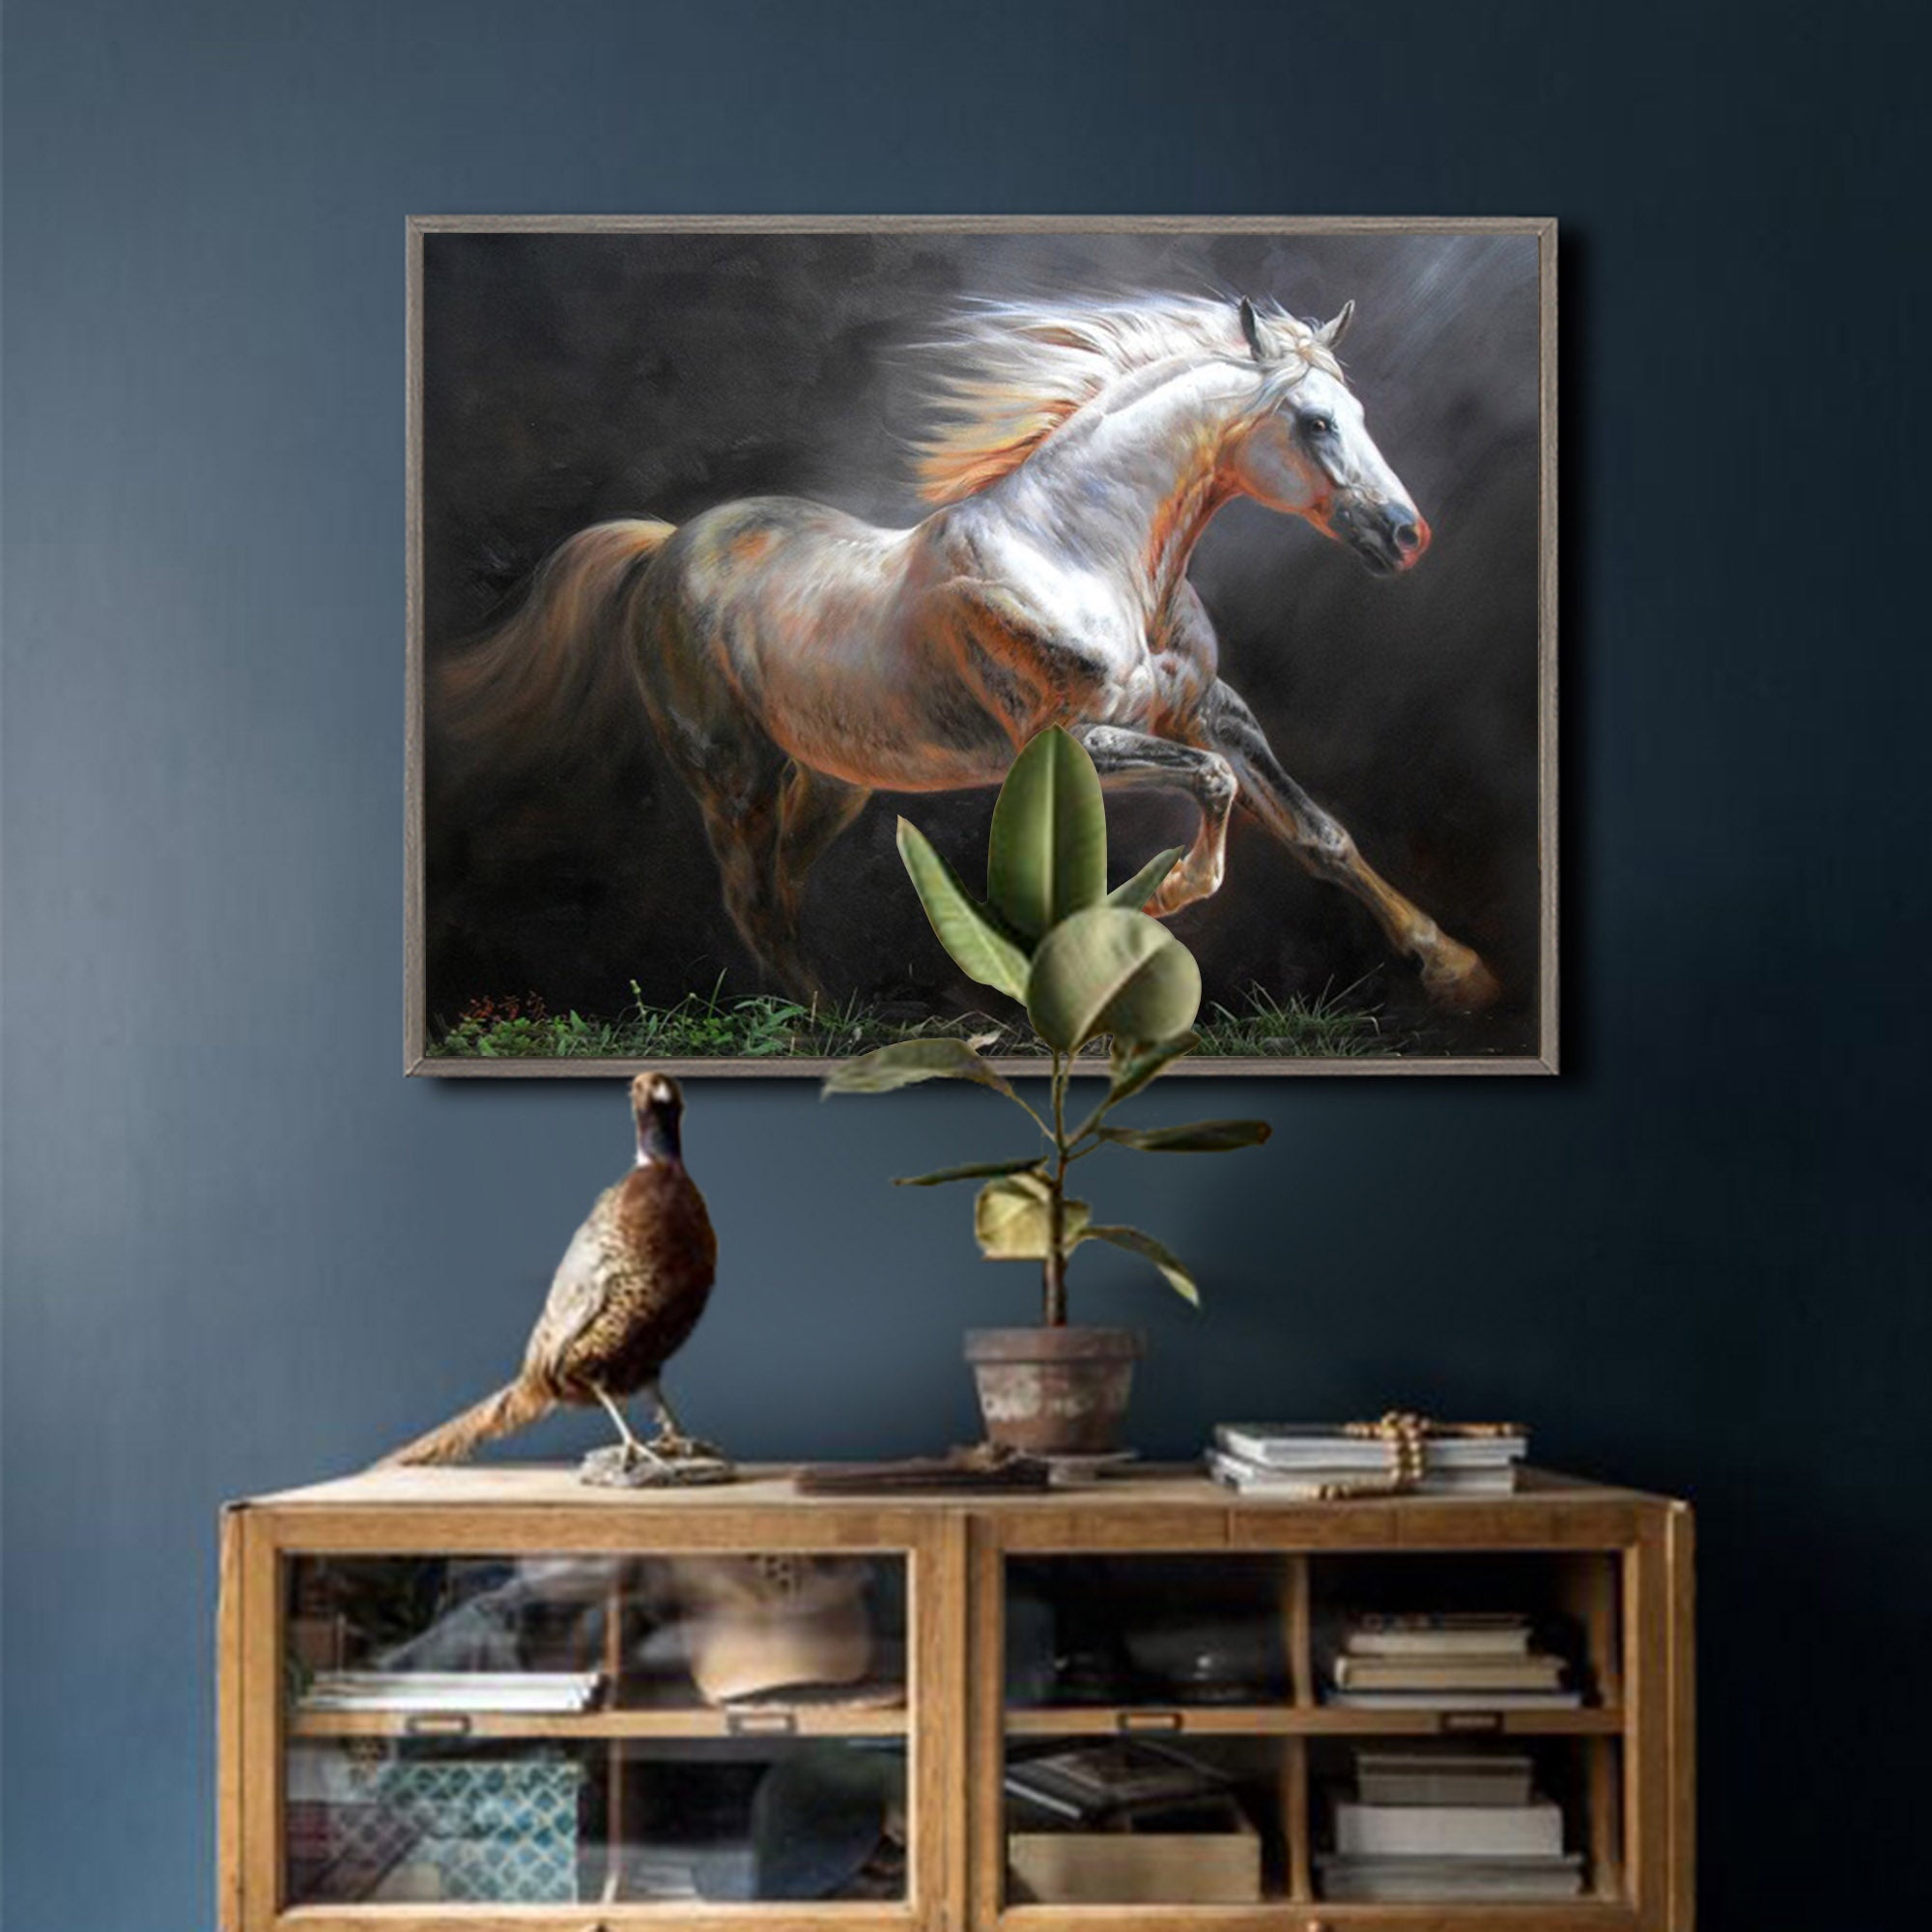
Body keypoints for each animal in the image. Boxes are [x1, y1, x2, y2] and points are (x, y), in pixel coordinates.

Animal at [437, 293, 1501, 1013]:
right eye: (1314, 422)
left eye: (1358, 416)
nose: (1405, 535)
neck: (1083, 552)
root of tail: (668, 542)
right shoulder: (1072, 744)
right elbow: (1215, 785)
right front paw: (1169, 895)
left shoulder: (1210, 709)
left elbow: (1317, 830)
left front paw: (1458, 969)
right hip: (731, 774)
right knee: (749, 897)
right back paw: (829, 1025)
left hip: (834, 780)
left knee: (782, 886)